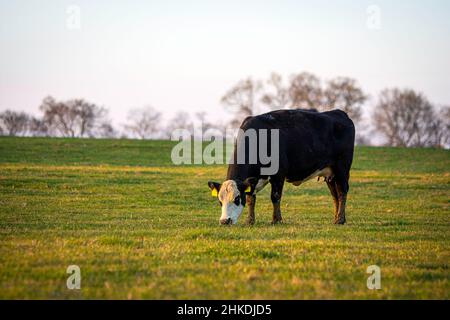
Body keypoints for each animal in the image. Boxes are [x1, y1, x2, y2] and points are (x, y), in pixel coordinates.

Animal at [207, 109, 356, 226]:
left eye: (237, 199)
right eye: (220, 201)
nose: (224, 221)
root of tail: (339, 113)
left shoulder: (278, 174)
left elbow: (275, 196)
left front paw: (276, 220)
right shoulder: (252, 180)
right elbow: (251, 199)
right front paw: (250, 221)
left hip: (342, 168)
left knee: (342, 191)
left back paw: (340, 219)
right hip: (330, 174)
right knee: (335, 195)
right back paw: (338, 218)